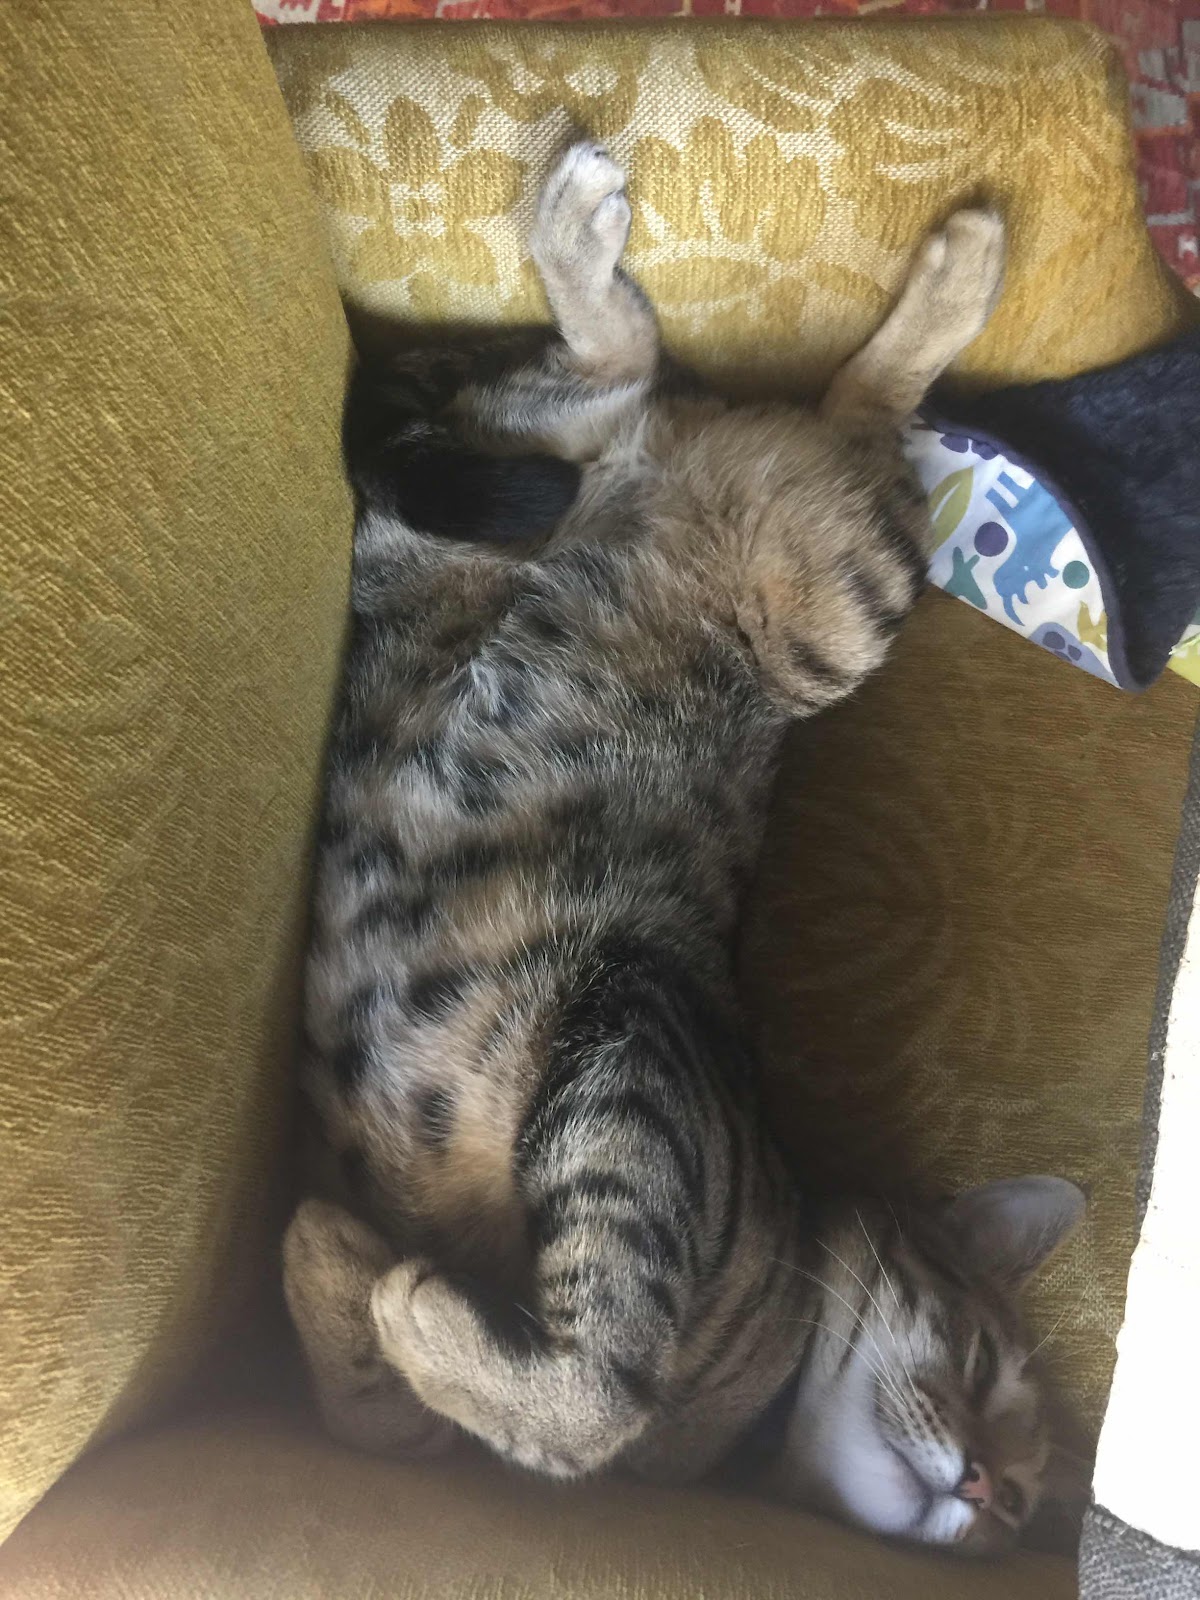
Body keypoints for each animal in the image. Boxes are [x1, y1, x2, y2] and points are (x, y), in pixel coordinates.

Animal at [283, 140, 1085, 1556]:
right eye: (986, 1364)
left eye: (1028, 1505)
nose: (986, 1487)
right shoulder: (631, 1047)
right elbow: (598, 1395)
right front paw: (404, 1297)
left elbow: (406, 1402)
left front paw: (356, 1273)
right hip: (831, 614)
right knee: (846, 413)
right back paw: (958, 266)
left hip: (535, 503)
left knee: (635, 374)